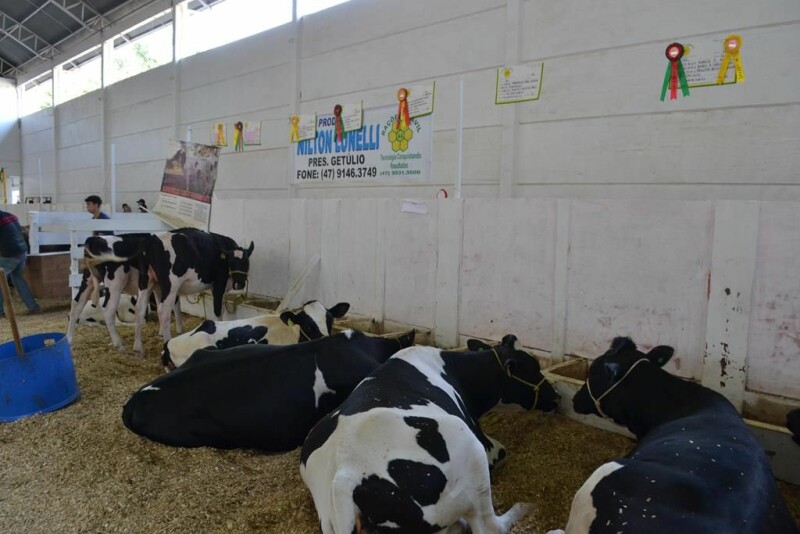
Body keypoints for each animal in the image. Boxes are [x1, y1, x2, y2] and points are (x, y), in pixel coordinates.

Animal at [134, 227, 253, 356]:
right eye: (231, 262)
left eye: (247, 262)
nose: (239, 284)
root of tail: (152, 238)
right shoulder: (219, 284)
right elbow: (217, 310)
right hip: (170, 284)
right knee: (163, 311)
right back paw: (166, 343)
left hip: (146, 282)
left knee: (140, 309)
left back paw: (138, 348)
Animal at [298, 336, 556, 534]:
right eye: (533, 368)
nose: (556, 397)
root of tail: (346, 475)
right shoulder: (481, 441)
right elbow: (501, 451)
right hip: (471, 455)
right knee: (489, 525)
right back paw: (522, 508)